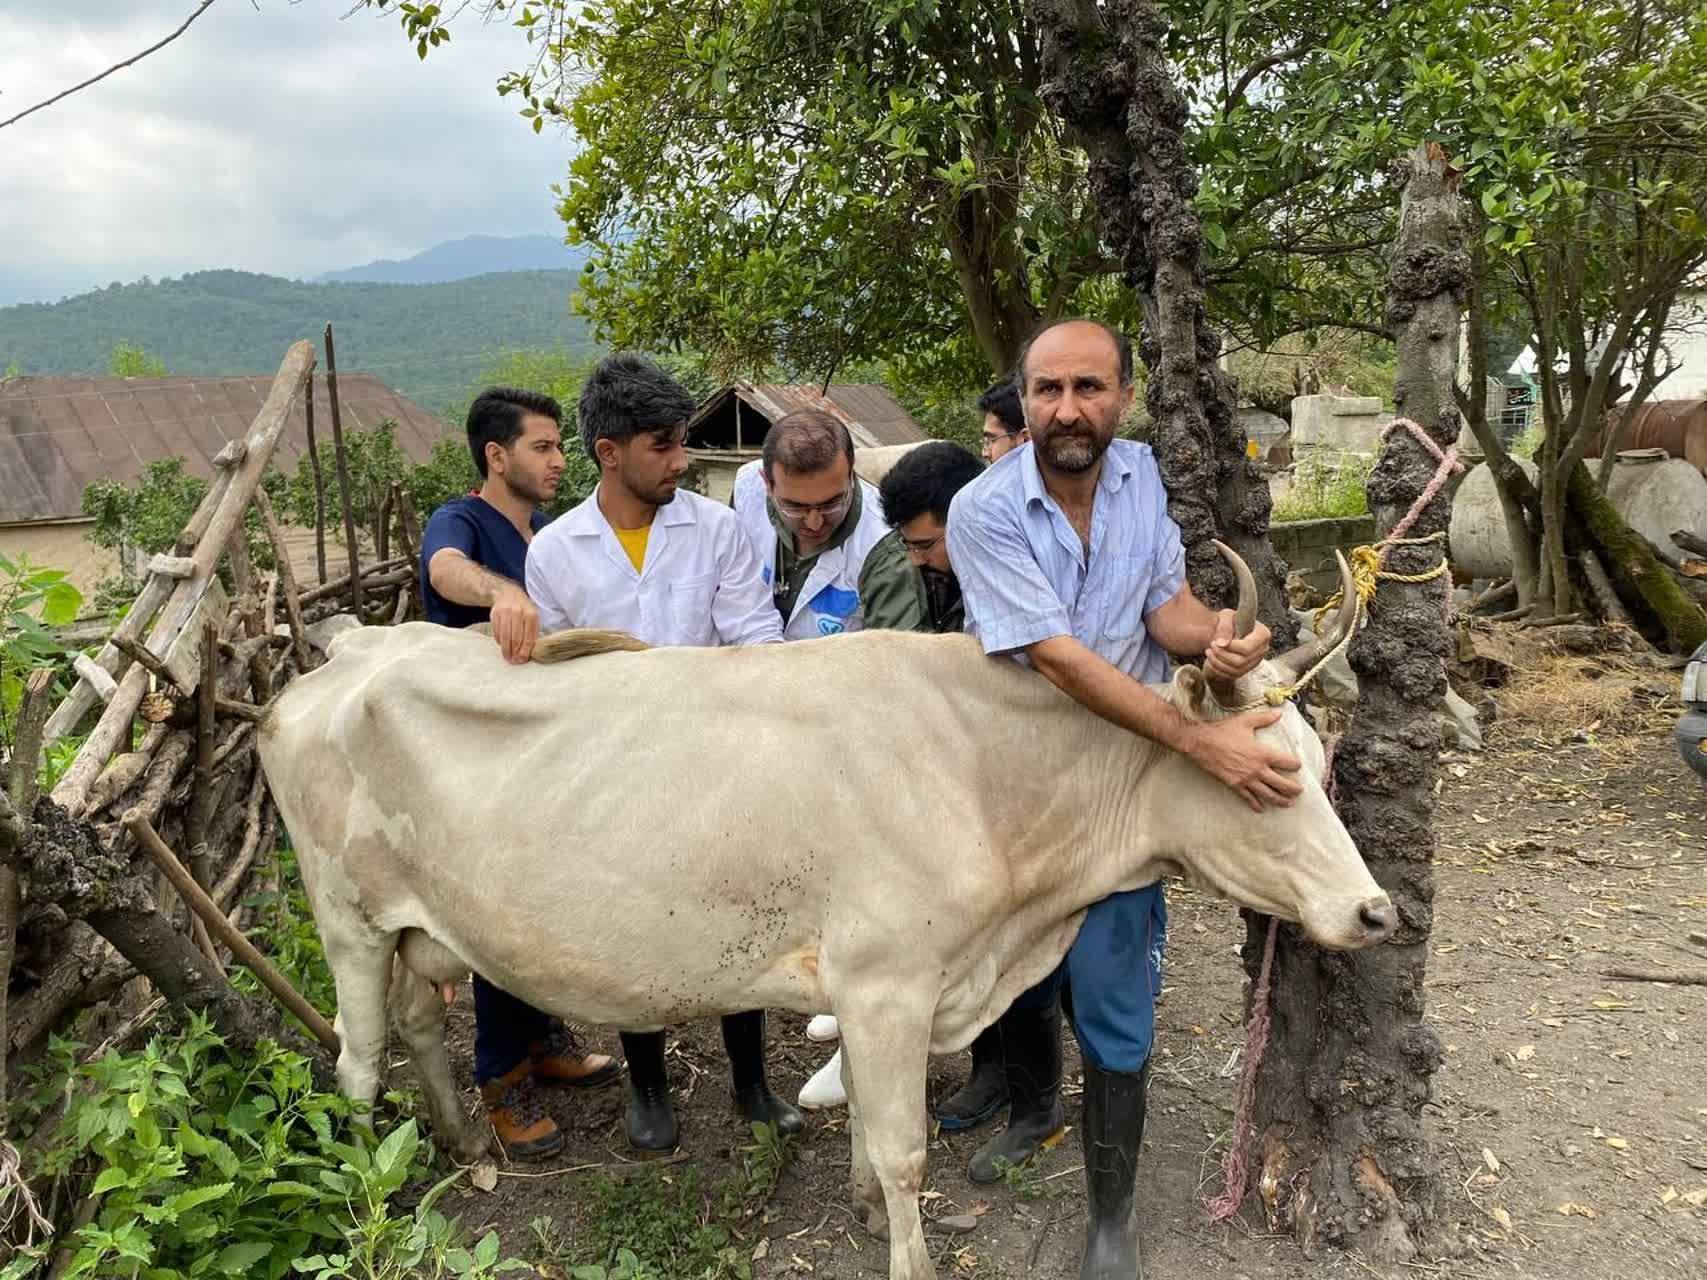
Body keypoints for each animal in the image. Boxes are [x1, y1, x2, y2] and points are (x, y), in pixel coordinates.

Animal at [259, 556, 1392, 1280]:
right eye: (1270, 778)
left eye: (1319, 756)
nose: (1375, 911)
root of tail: (344, 653)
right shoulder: (889, 981)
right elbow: (903, 1151)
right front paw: (910, 1258)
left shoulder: (887, 986)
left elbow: (870, 1131)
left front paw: (853, 1200)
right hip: (345, 918)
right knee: (355, 1060)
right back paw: (371, 1194)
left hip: (419, 929)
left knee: (415, 1025)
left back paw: (461, 1145)